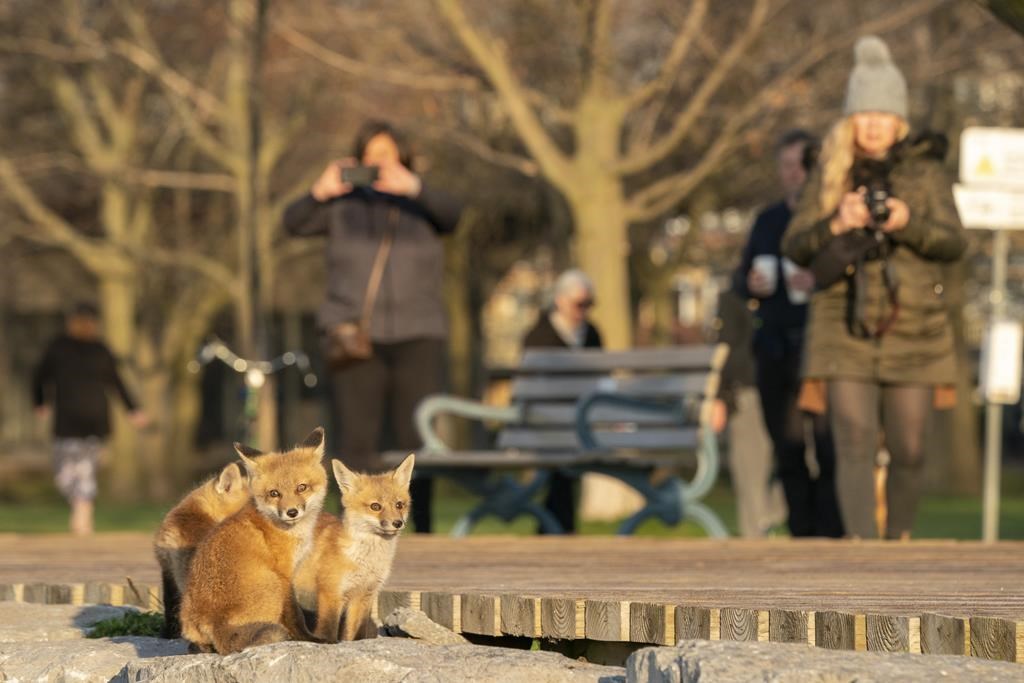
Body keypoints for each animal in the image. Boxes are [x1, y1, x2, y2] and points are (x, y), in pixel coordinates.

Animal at [178, 428, 329, 655]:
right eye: (274, 493)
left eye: (302, 487)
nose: (291, 512)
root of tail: (216, 621)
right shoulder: (285, 576)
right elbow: (296, 616)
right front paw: (310, 639)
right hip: (273, 584)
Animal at [294, 454, 413, 643]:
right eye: (375, 506)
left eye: (399, 505)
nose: (398, 523)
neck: (366, 563)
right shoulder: (331, 595)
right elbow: (327, 633)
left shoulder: (364, 597)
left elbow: (355, 636)